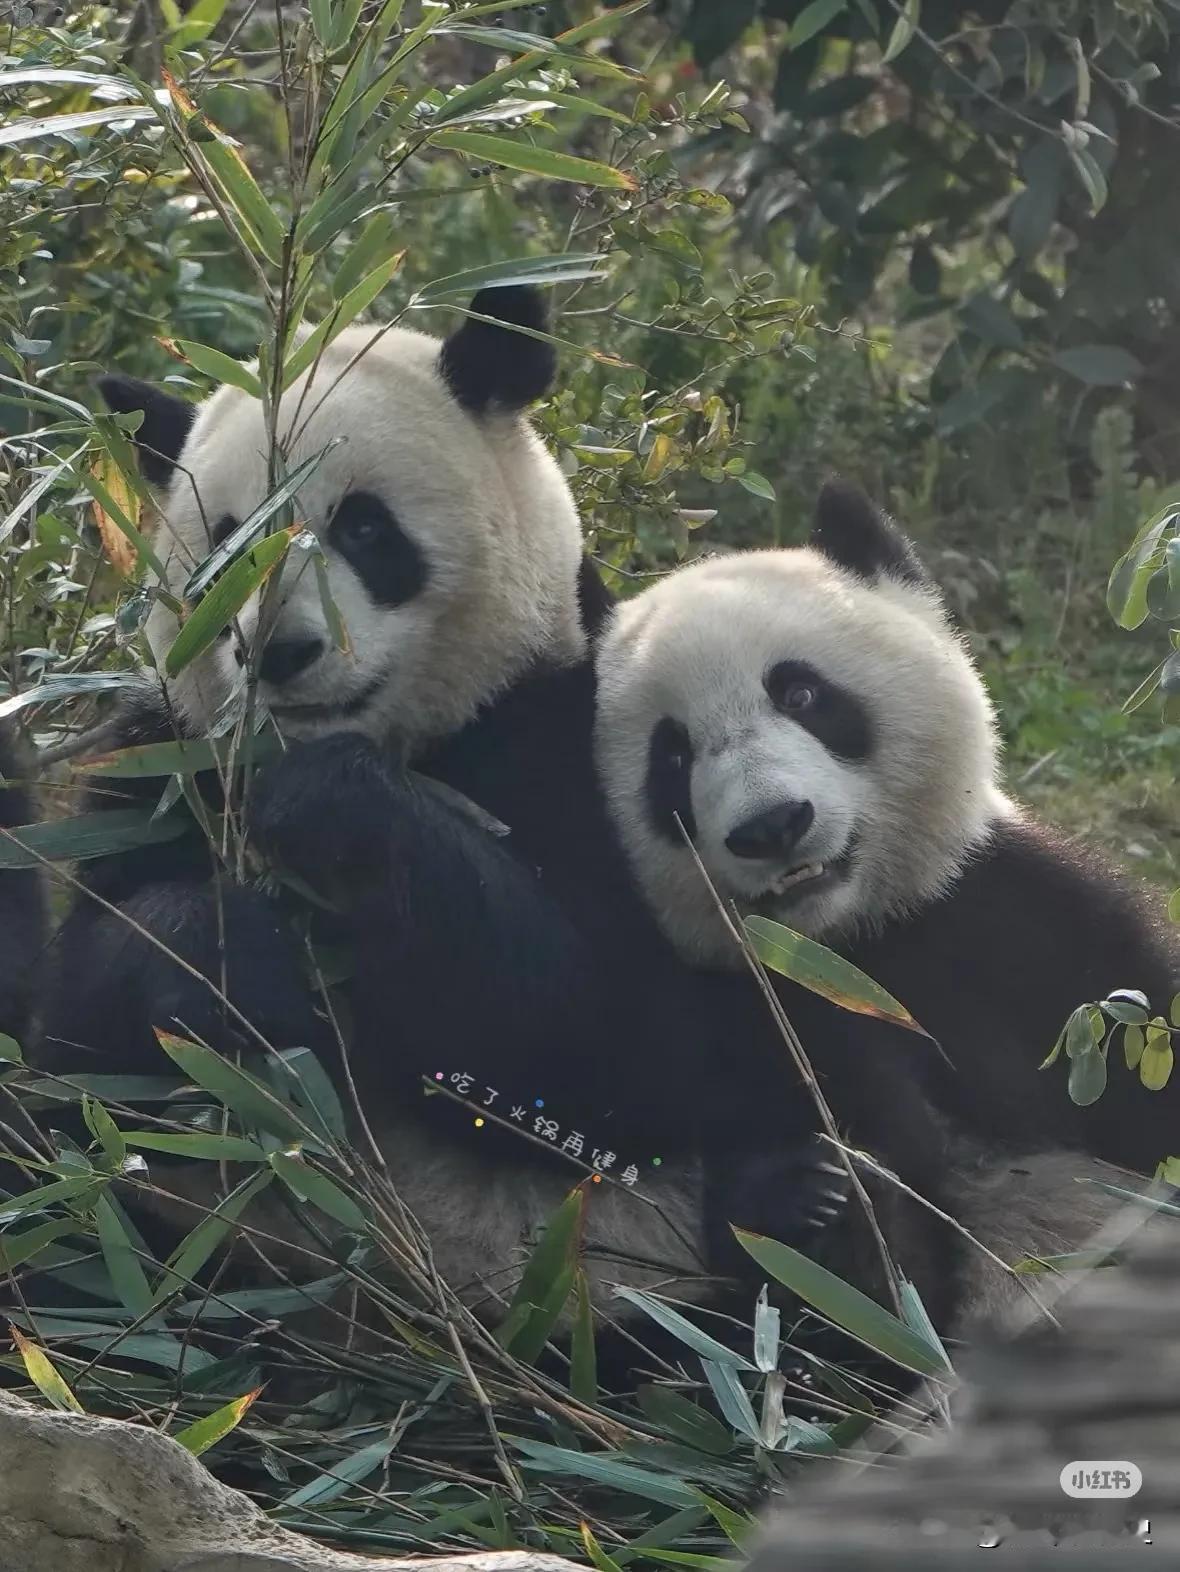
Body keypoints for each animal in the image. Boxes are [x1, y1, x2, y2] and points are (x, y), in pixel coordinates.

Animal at [593, 481, 1180, 1339]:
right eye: (671, 754)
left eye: (801, 693)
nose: (772, 825)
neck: (853, 942)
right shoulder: (747, 1012)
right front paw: (815, 1198)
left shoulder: (1024, 925)